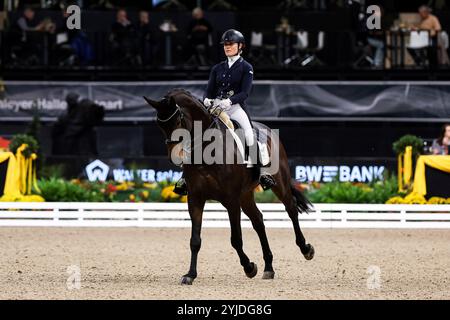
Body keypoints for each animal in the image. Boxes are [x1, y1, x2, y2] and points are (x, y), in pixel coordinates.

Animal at [143, 88, 312, 284]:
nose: (175, 157)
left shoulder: (231, 200)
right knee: (258, 220)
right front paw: (190, 275)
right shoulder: (195, 199)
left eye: (178, 121)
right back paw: (269, 268)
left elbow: (236, 239)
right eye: (159, 124)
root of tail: (267, 130)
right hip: (245, 195)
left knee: (291, 209)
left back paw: (306, 249)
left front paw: (249, 267)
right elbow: (195, 240)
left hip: (279, 183)